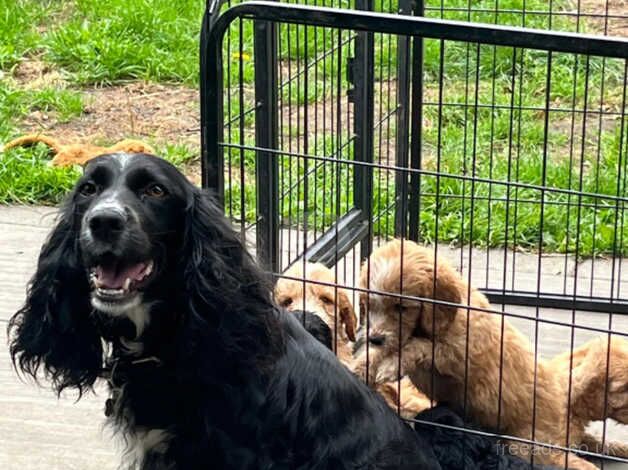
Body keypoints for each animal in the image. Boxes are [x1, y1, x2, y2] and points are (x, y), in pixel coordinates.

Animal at [354, 241, 600, 468]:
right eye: (370, 304)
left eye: (401, 307)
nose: (375, 338)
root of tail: (563, 399)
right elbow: (380, 352)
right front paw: (361, 367)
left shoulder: (458, 352)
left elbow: (419, 346)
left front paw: (390, 365)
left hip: (532, 442)